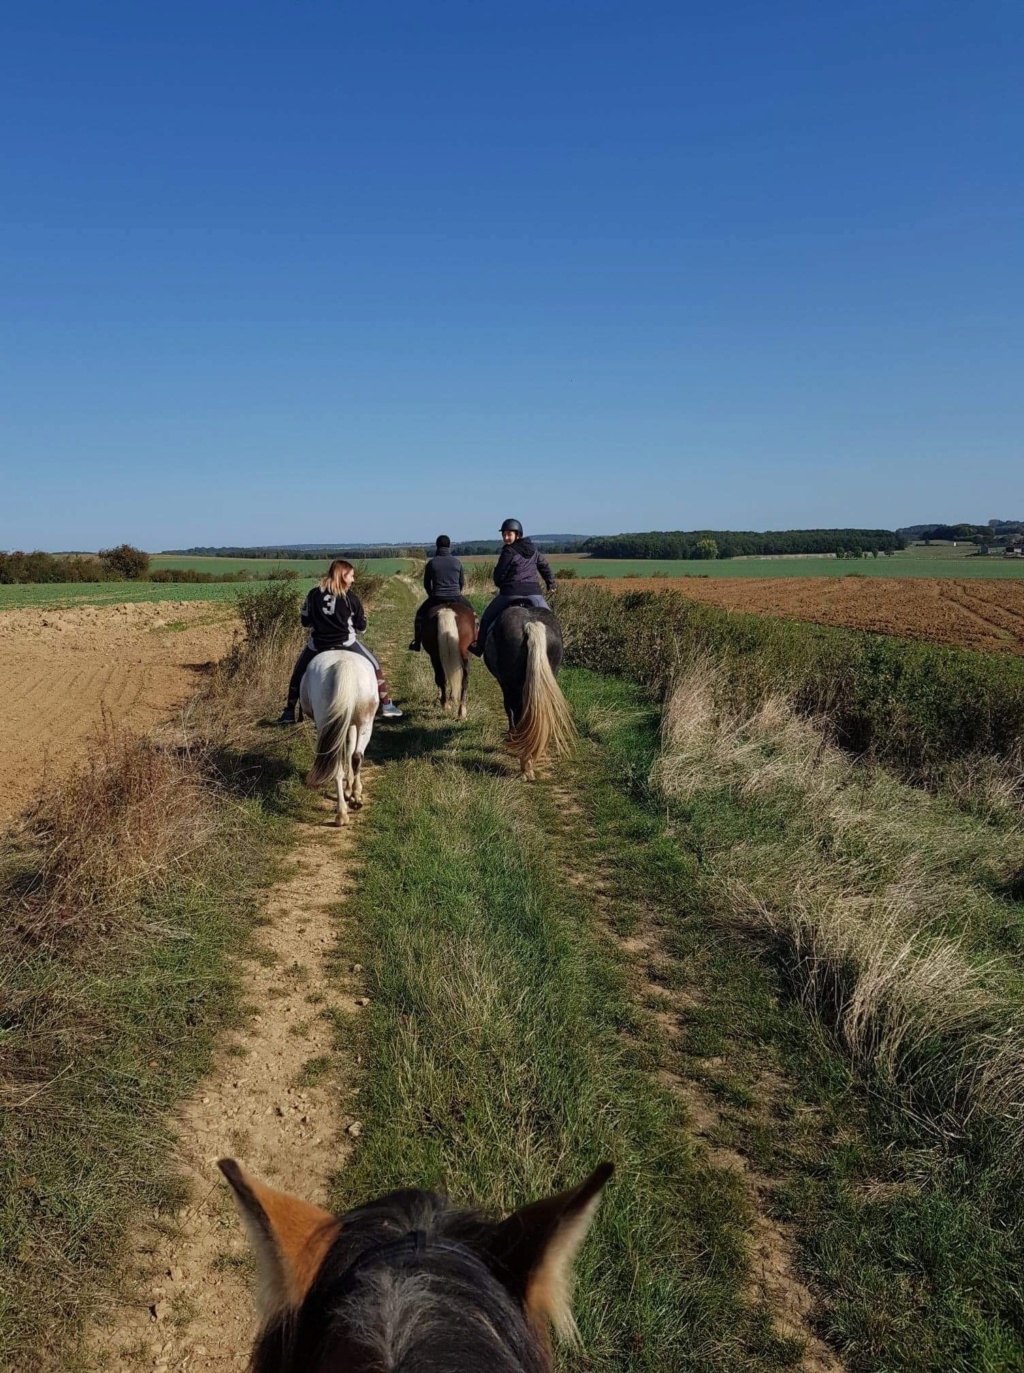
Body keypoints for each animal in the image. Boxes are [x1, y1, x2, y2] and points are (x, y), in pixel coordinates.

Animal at [299, 645, 378, 823]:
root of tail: (343, 664)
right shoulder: (351, 724)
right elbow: (349, 751)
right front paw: (351, 790)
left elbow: (347, 751)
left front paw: (349, 790)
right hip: (365, 722)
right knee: (356, 756)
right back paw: (351, 803)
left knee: (342, 760)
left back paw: (342, 811)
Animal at [480, 604, 573, 779]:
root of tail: (531, 625)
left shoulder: (505, 685)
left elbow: (509, 710)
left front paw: (511, 739)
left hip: (513, 687)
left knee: (518, 713)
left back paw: (525, 765)